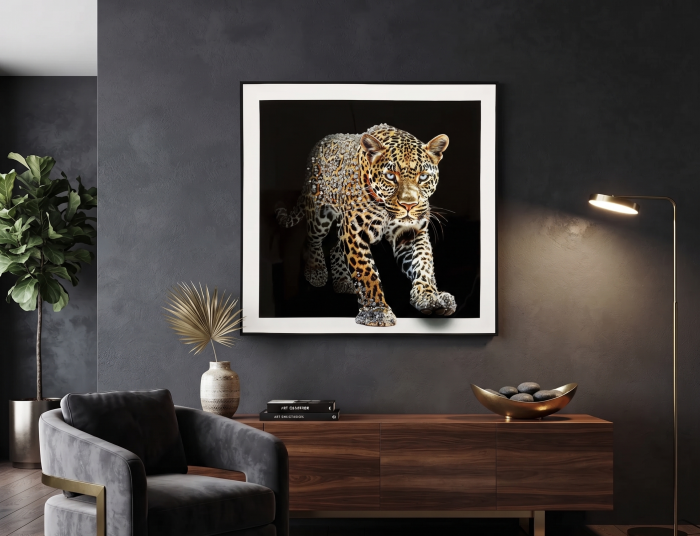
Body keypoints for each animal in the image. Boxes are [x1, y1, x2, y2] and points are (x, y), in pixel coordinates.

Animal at [275, 123, 456, 327]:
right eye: (390, 176)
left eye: (423, 177)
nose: (408, 205)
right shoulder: (354, 231)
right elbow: (366, 272)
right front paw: (376, 312)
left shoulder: (410, 232)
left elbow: (423, 263)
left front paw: (430, 297)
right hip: (319, 214)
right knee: (312, 238)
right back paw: (316, 271)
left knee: (335, 247)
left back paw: (343, 281)